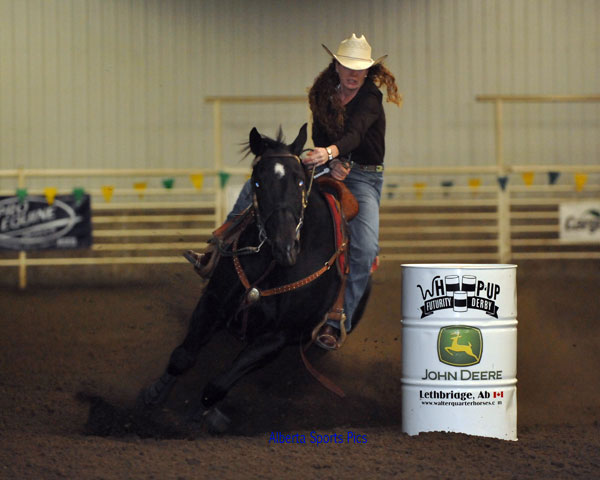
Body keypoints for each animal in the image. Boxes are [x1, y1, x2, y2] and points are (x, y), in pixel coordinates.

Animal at [141, 124, 356, 432]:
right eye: (257, 182)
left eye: (300, 182)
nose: (285, 246)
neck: (273, 265)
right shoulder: (214, 300)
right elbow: (183, 356)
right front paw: (156, 392)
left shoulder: (277, 337)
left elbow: (218, 385)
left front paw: (204, 415)